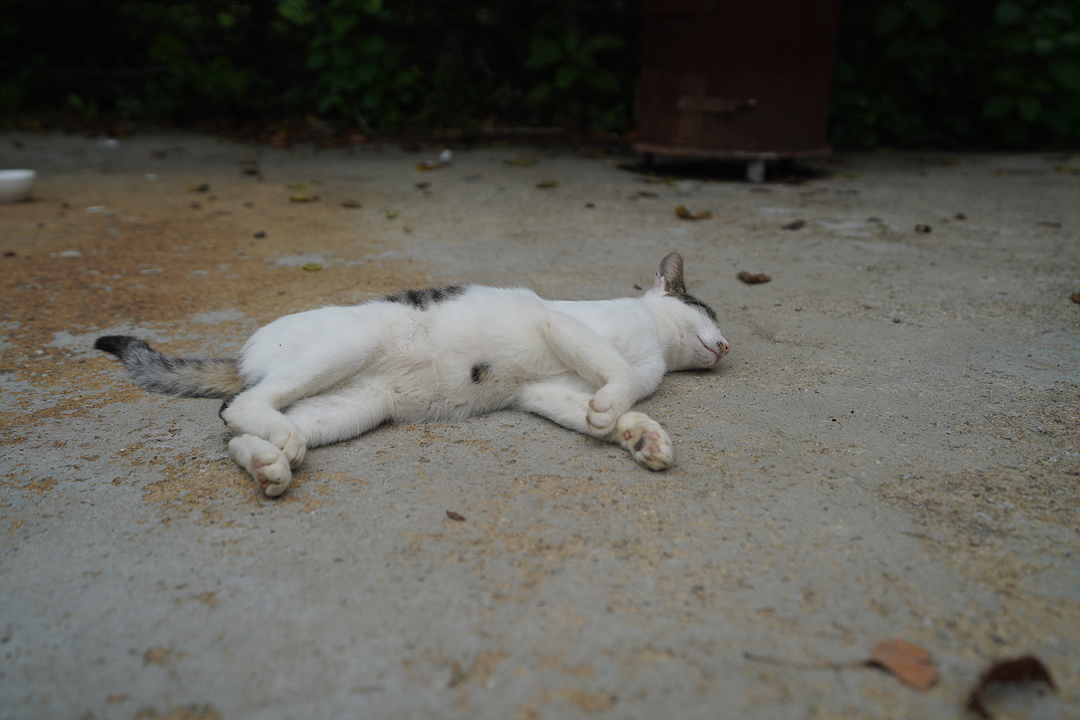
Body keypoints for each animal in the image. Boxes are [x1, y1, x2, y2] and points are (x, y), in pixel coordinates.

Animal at [95, 251, 730, 497]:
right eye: (711, 312)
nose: (726, 346)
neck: (658, 349)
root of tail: (244, 353)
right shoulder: (564, 326)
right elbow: (614, 372)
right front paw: (622, 412)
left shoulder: (545, 391)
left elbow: (600, 407)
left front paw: (638, 435)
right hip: (346, 347)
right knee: (237, 406)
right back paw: (273, 446)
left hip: (353, 406)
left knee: (241, 424)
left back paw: (267, 463)